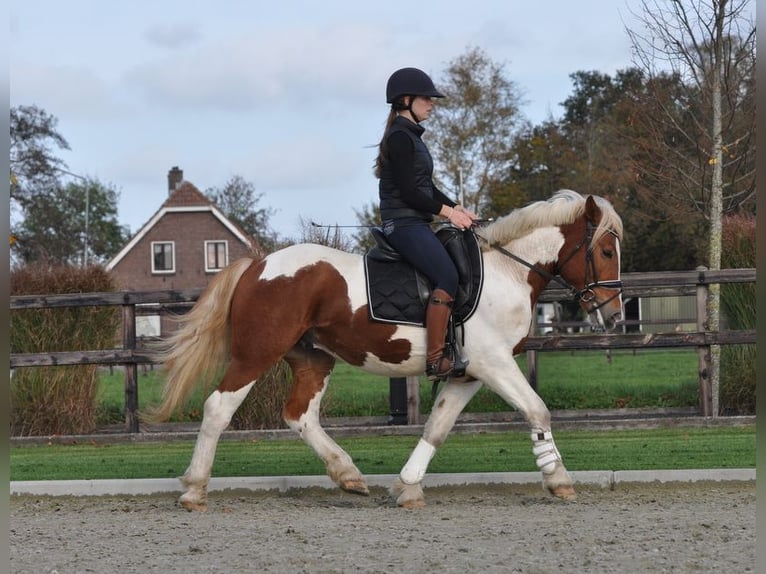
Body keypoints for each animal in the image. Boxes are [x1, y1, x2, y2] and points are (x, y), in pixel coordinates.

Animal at [148, 189, 624, 512]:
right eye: (604, 250)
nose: (615, 314)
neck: (507, 270)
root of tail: (258, 266)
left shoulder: (468, 372)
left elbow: (437, 427)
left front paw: (407, 486)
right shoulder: (494, 364)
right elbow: (537, 410)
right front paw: (558, 478)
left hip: (313, 358)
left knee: (300, 415)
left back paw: (348, 475)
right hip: (255, 356)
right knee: (218, 408)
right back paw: (195, 488)